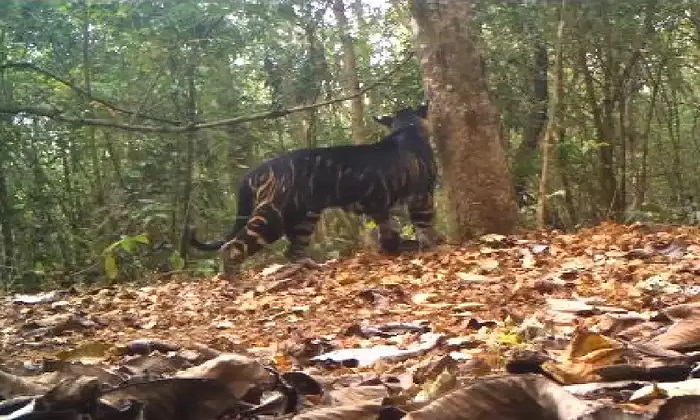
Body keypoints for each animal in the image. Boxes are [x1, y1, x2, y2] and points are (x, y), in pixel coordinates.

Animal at [189, 103, 440, 278]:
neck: (407, 128)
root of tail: (255, 171)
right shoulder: (422, 195)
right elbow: (424, 225)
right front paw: (430, 247)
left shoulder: (381, 204)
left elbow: (389, 228)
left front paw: (392, 249)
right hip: (272, 218)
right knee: (233, 246)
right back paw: (235, 279)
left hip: (303, 219)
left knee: (293, 250)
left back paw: (309, 268)